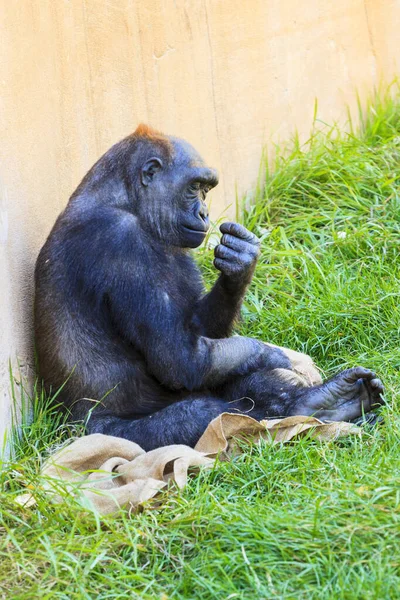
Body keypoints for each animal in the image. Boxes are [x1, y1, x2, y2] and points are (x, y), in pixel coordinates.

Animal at [35, 123, 384, 450]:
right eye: (194, 188)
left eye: (206, 189)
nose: (204, 212)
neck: (125, 200)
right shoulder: (122, 241)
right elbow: (180, 359)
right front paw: (281, 356)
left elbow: (200, 332)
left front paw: (241, 264)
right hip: (98, 435)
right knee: (198, 415)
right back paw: (307, 407)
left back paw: (329, 401)